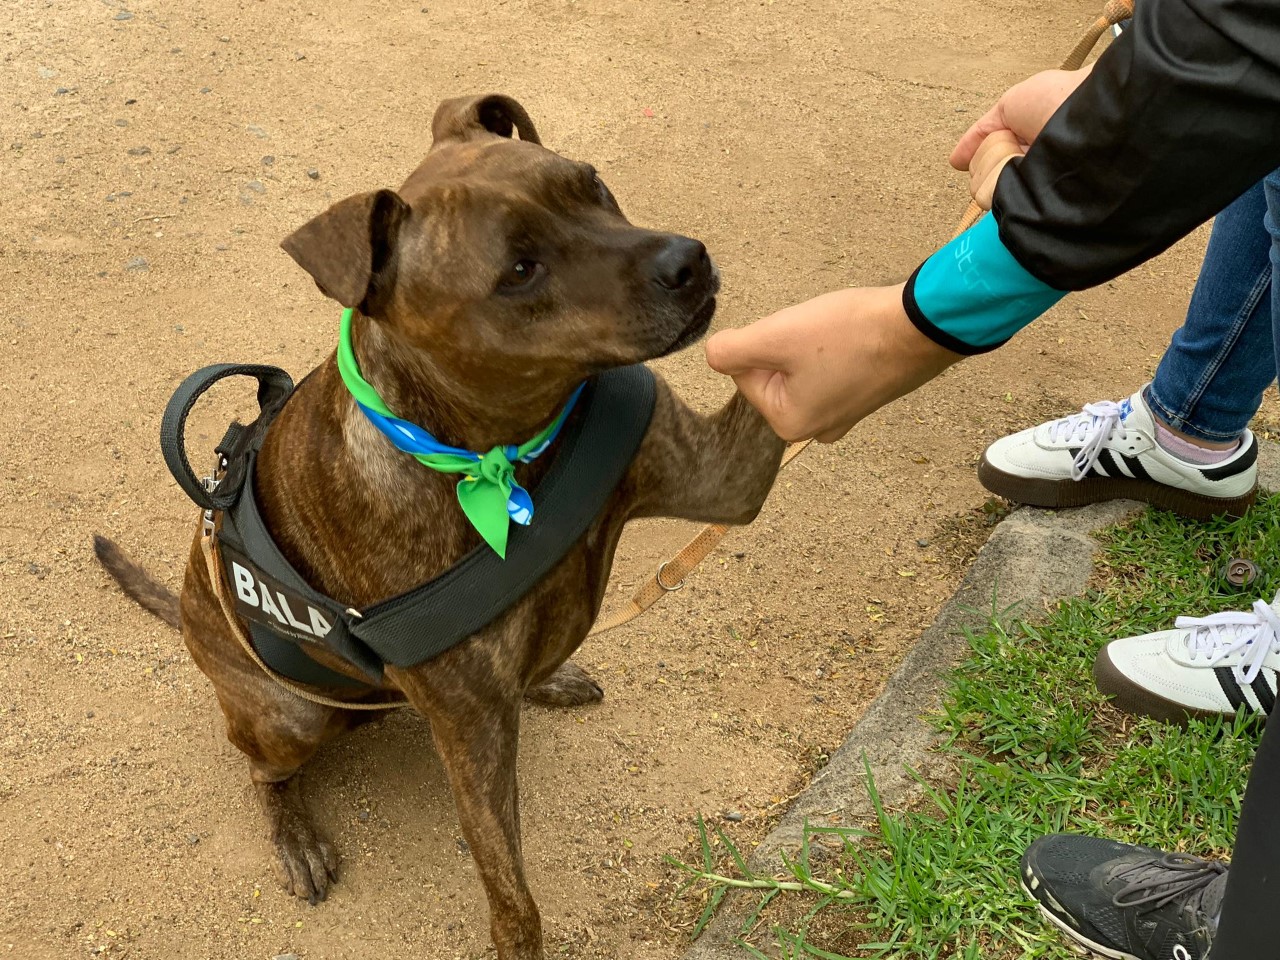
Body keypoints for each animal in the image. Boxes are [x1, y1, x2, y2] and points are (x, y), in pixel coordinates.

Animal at [94, 92, 783, 960]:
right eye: (518, 270)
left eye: (592, 184)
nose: (687, 261)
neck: (501, 451)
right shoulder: (472, 733)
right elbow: (511, 894)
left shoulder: (723, 473)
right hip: (290, 717)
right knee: (261, 770)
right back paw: (296, 836)